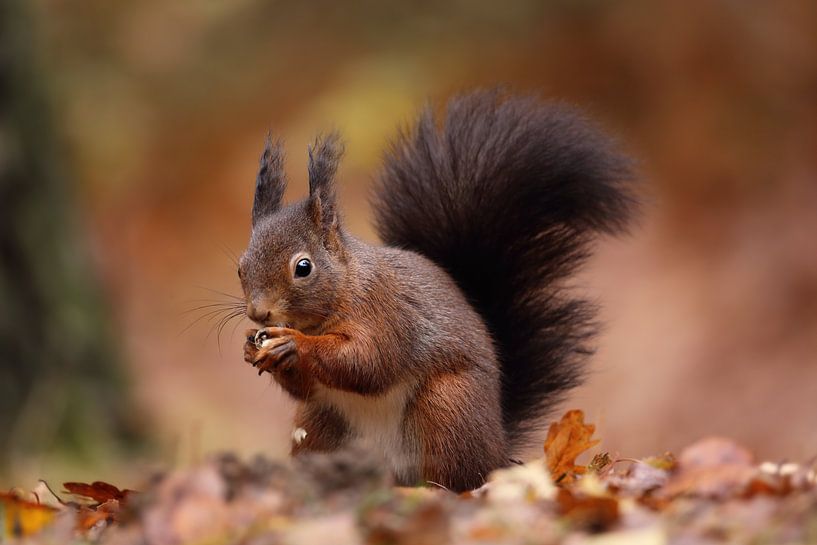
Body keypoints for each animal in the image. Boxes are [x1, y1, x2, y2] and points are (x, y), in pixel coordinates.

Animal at [239, 90, 636, 492]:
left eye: (303, 267)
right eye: (240, 267)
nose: (258, 313)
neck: (345, 287)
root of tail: (497, 448)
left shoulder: (385, 311)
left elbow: (368, 361)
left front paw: (294, 344)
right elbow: (307, 386)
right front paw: (253, 349)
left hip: (447, 408)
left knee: (454, 475)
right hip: (321, 424)